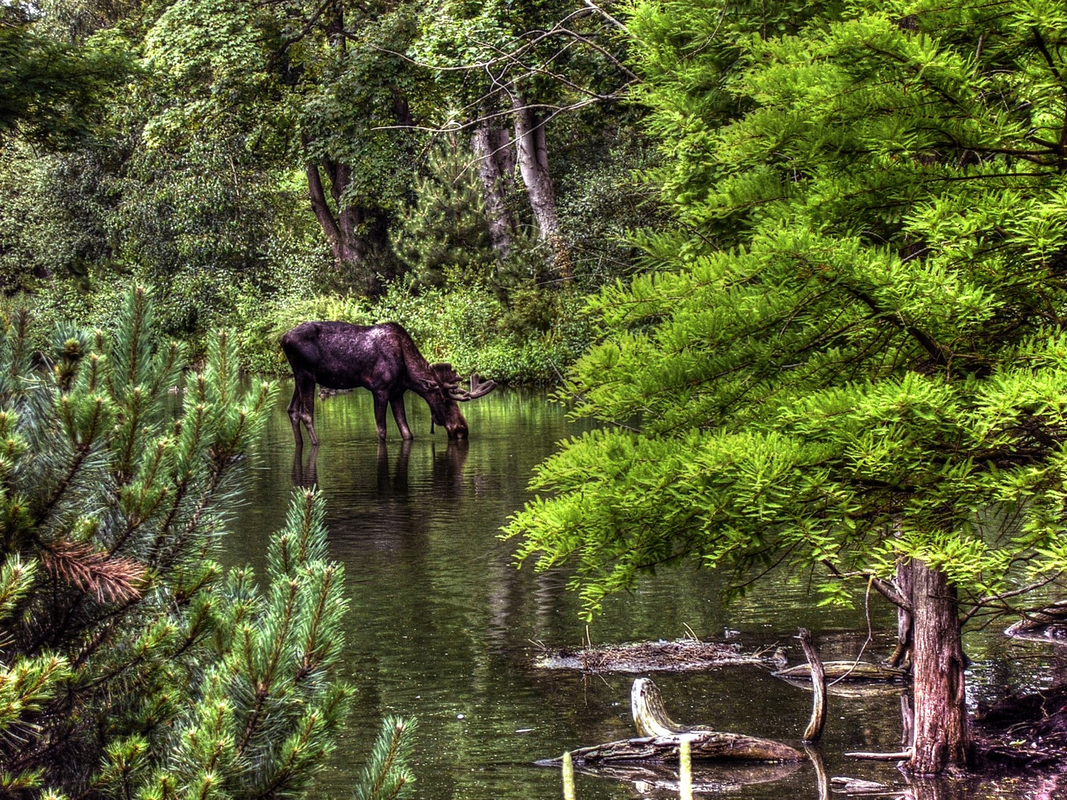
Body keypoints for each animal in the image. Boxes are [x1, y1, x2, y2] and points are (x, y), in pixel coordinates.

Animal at [279, 320, 495, 445]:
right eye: (445, 400)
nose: (462, 430)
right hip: (306, 374)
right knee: (306, 414)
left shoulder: (397, 392)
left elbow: (407, 433)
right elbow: (381, 430)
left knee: (292, 410)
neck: (407, 374)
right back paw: (316, 444)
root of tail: (283, 339)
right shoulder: (380, 389)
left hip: (301, 376)